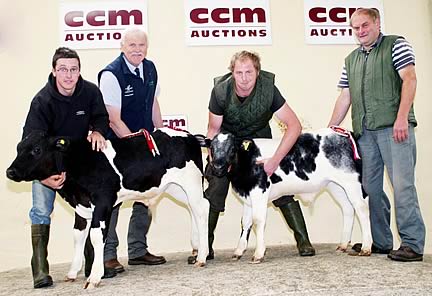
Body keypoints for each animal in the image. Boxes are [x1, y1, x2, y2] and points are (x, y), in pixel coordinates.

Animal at [6, 128, 209, 290]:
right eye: (18, 148)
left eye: (36, 150)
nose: (10, 171)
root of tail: (189, 136)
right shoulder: (81, 205)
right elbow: (78, 235)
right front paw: (72, 273)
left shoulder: (103, 201)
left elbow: (96, 236)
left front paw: (94, 277)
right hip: (176, 187)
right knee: (194, 208)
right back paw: (196, 248)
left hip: (191, 181)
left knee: (201, 209)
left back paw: (202, 256)